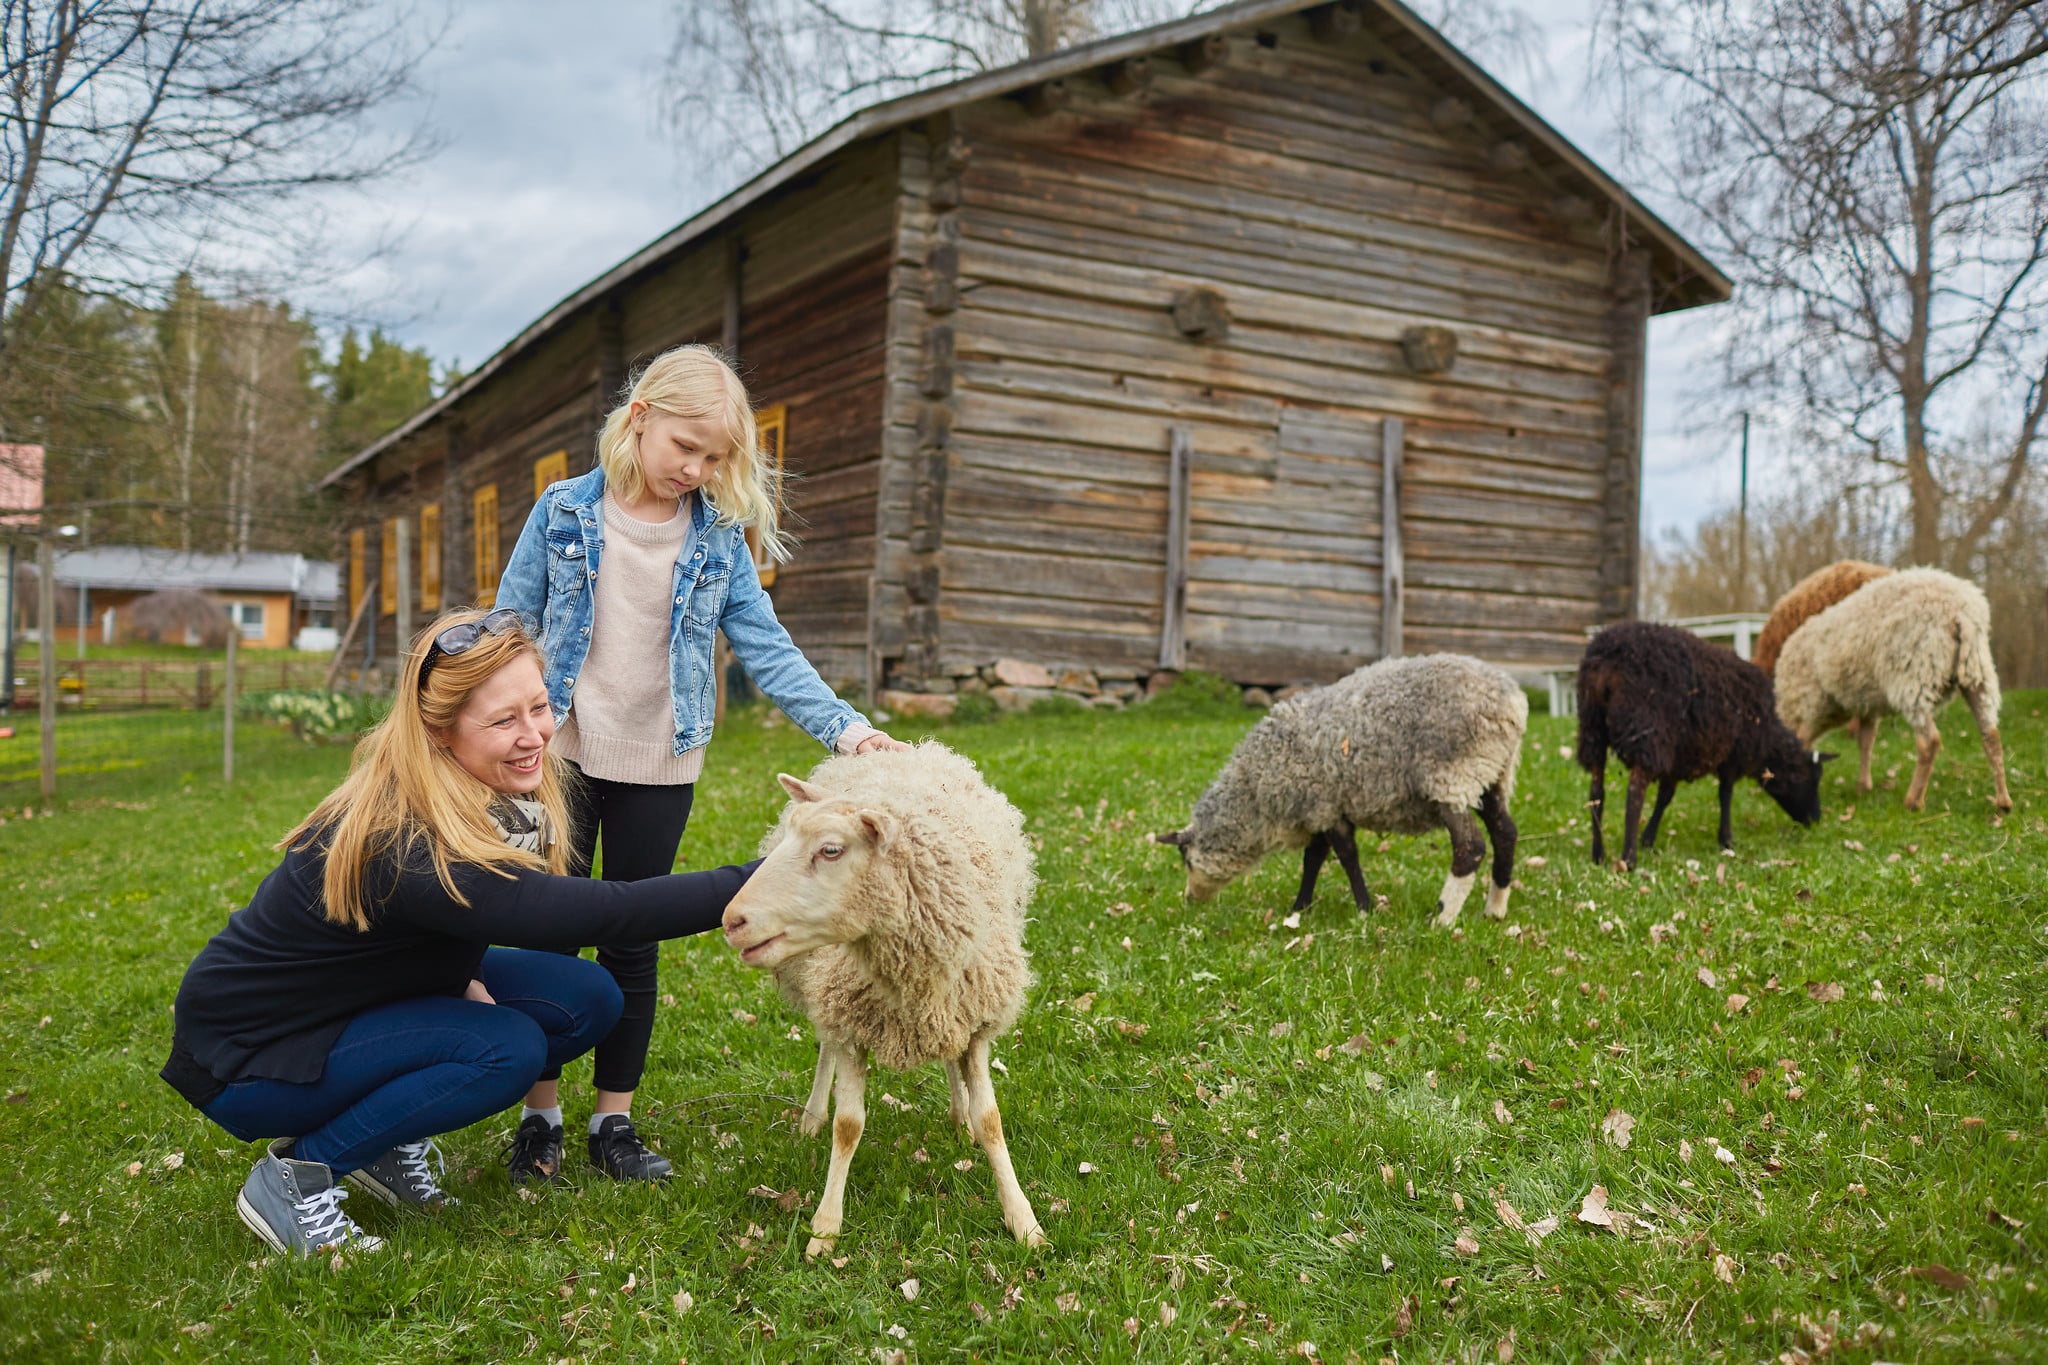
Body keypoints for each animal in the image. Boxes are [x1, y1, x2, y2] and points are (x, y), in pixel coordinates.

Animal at [720, 740, 1040, 1252]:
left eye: (831, 849)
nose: (733, 921)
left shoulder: (973, 1019)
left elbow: (991, 1118)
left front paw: (1022, 1219)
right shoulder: (850, 1021)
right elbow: (848, 1126)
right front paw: (825, 1229)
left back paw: (958, 1117)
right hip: (825, 987)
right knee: (825, 1048)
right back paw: (811, 1117)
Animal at [1155, 654, 1523, 929]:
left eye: (1186, 857)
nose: (1190, 900)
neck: (1254, 793)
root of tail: (1512, 702)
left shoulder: (1324, 806)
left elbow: (1346, 856)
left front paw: (1363, 908)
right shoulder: (1321, 807)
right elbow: (1314, 859)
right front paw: (1300, 907)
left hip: (1451, 777)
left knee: (1470, 847)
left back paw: (1442, 918)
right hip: (1491, 775)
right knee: (1506, 832)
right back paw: (1495, 910)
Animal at [1572, 622, 1835, 871]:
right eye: (1807, 778)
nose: (1815, 820)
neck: (1767, 736)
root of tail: (1608, 658)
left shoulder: (1678, 753)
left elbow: (1665, 796)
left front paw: (1648, 838)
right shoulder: (1732, 753)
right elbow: (1725, 794)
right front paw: (1726, 840)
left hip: (1593, 728)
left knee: (1596, 793)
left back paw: (1598, 855)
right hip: (1646, 731)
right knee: (1635, 792)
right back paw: (1629, 858)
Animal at [1769, 564, 2007, 810]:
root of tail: (1960, 612)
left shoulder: (1813, 701)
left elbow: (1806, 743)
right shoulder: (1866, 703)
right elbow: (1865, 740)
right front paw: (1863, 787)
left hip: (1916, 676)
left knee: (1929, 741)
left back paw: (1913, 801)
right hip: (1977, 673)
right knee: (1991, 734)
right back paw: (2003, 801)